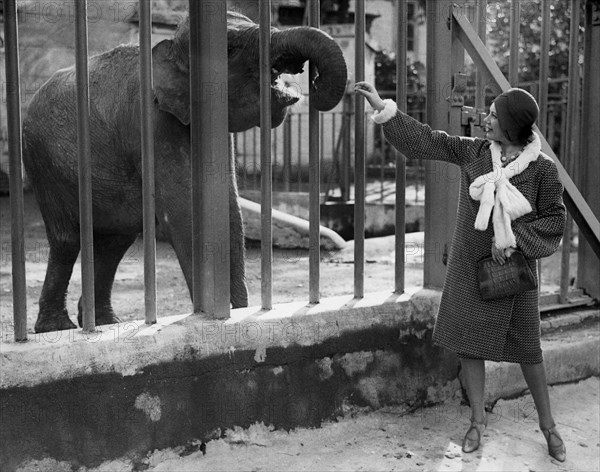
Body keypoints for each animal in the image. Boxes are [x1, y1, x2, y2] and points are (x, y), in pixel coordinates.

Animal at [22, 12, 346, 336]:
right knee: (68, 240)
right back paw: (56, 328)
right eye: (229, 49)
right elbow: (184, 212)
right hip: (45, 164)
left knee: (114, 242)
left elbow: (228, 207)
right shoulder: (155, 124)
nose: (311, 79)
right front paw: (225, 315)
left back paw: (105, 323)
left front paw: (236, 313)